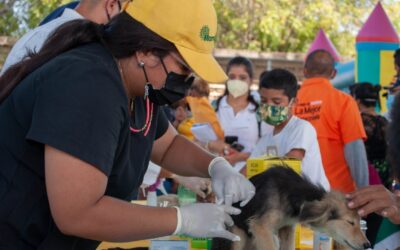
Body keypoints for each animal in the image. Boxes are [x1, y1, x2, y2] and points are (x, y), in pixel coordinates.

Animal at [212, 166, 372, 250]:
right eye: (350, 222)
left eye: (359, 222)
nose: (367, 245)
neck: (291, 194)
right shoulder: (260, 227)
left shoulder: (286, 228)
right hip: (237, 237)